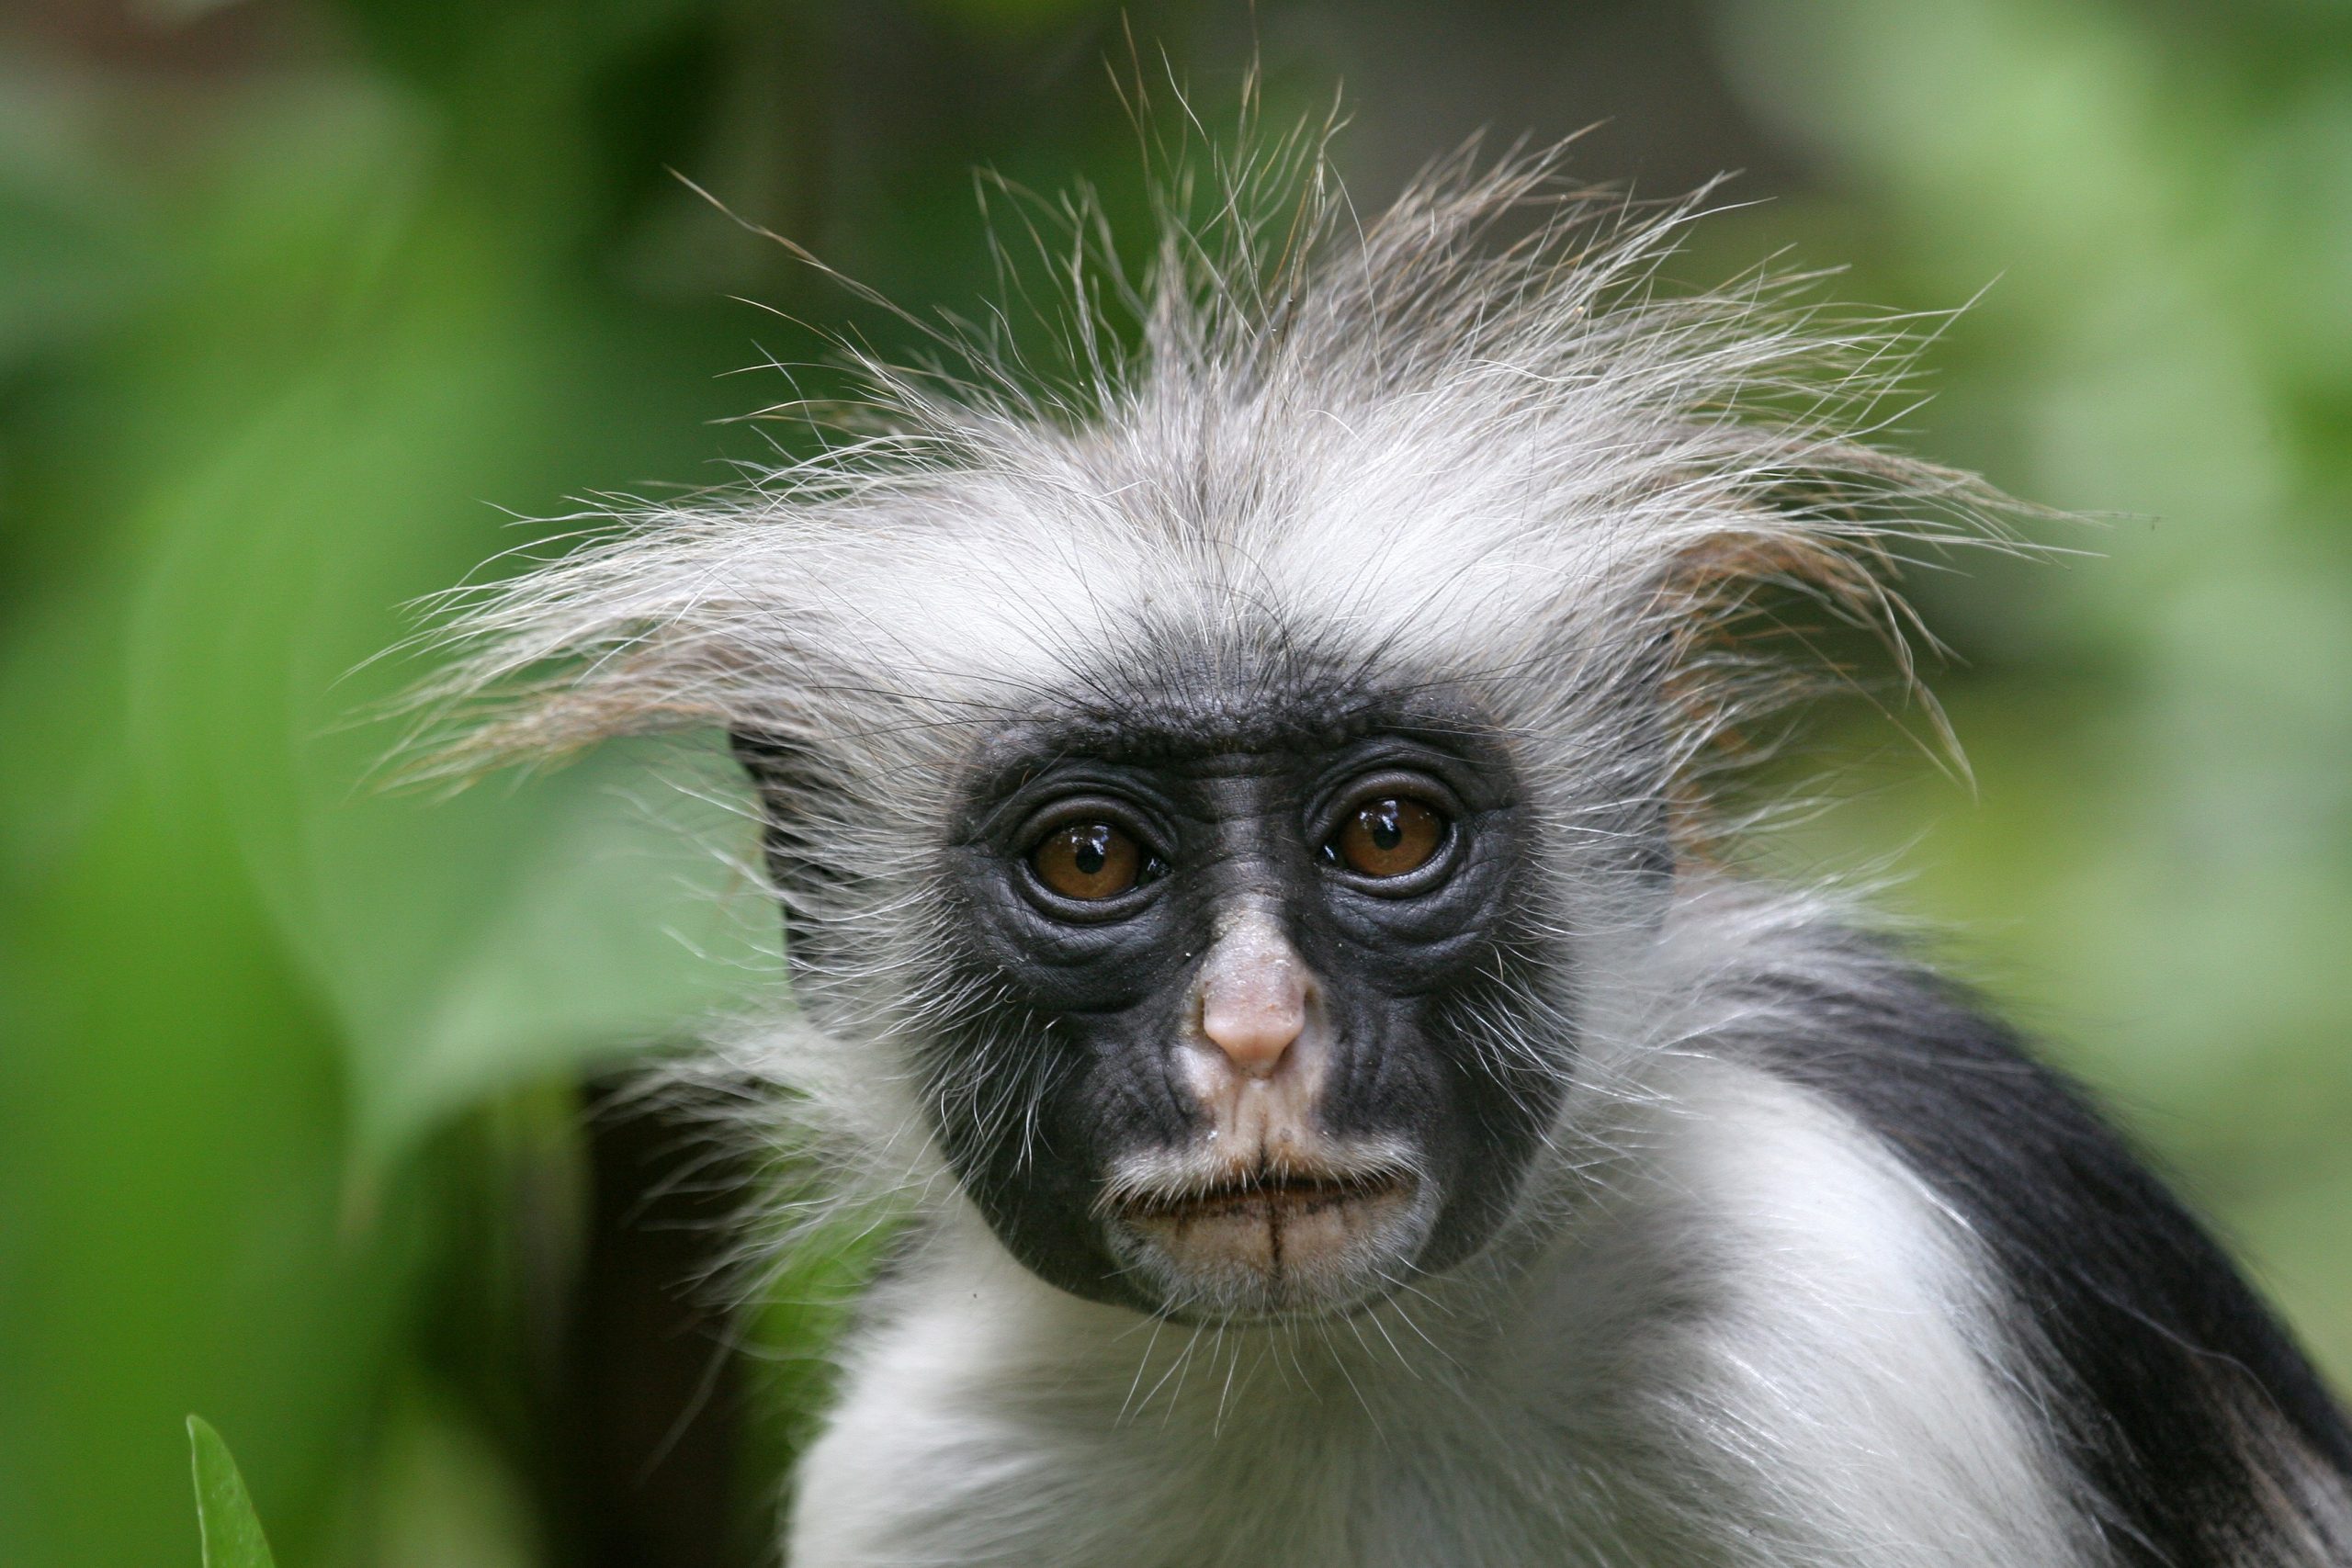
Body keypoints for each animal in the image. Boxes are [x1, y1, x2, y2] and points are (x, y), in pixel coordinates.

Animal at [423, 138, 2352, 1568]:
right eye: (1093, 860)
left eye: (1389, 829)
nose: (1256, 1032)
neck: (1346, 1374)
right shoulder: (932, 1459)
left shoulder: (1834, 1314)